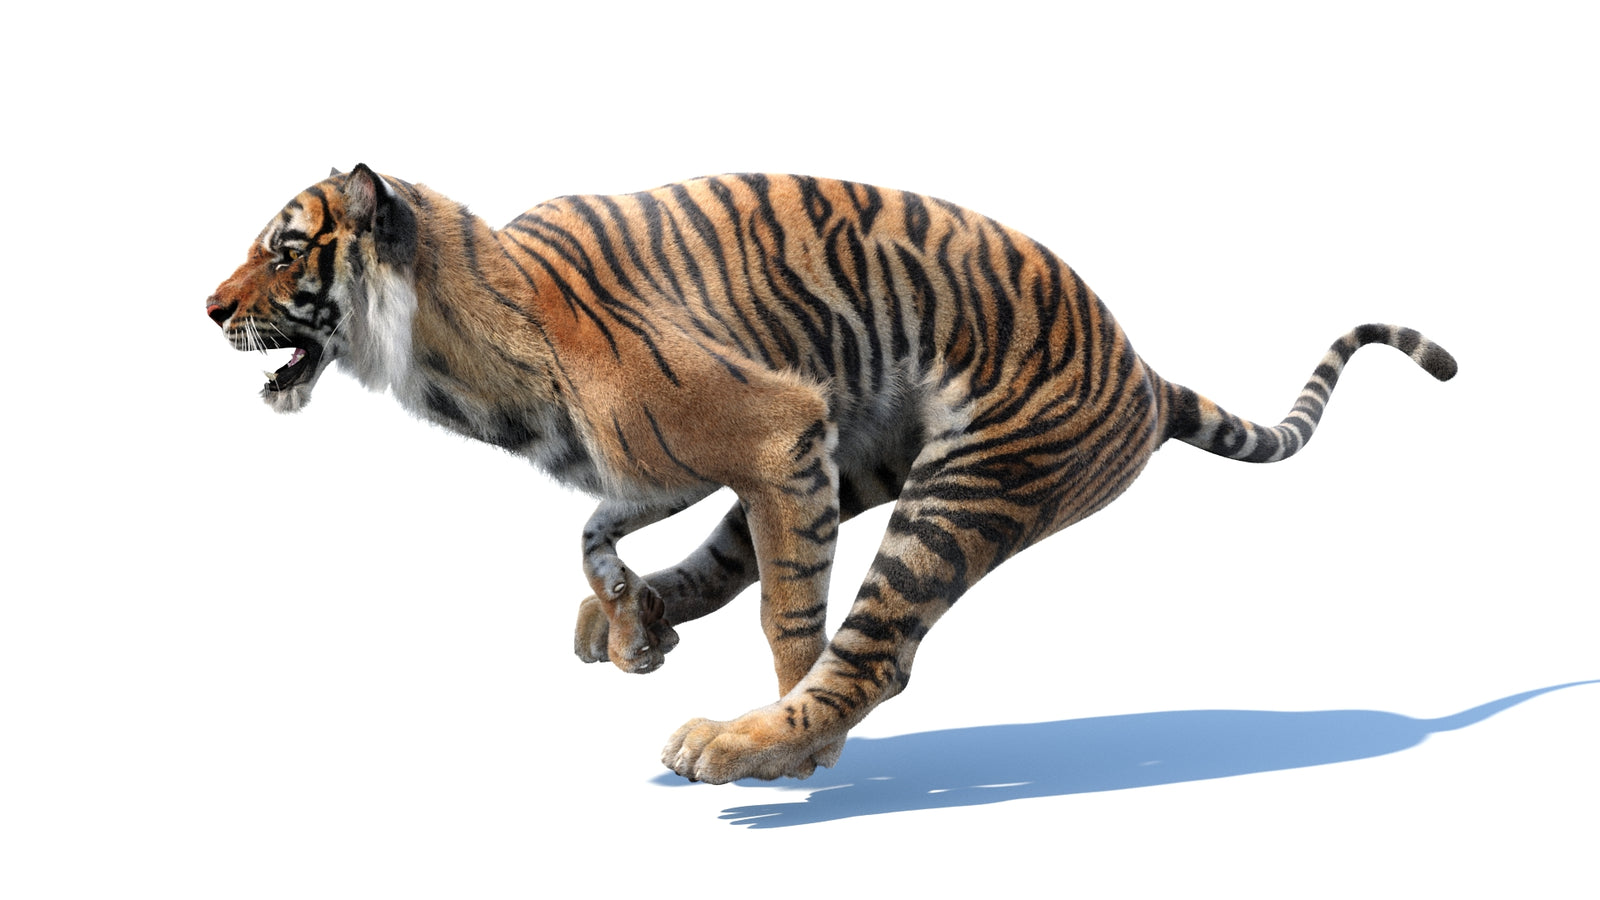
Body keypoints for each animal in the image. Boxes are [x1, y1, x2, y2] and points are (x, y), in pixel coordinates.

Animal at [206, 165, 1456, 783]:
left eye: (284, 248)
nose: (209, 308)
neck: (455, 358)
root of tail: (1140, 365)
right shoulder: (714, 457)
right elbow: (593, 528)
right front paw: (626, 618)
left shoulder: (772, 429)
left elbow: (792, 623)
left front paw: (794, 751)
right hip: (849, 466)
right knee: (735, 570)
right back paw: (644, 625)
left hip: (957, 490)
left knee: (872, 652)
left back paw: (747, 743)